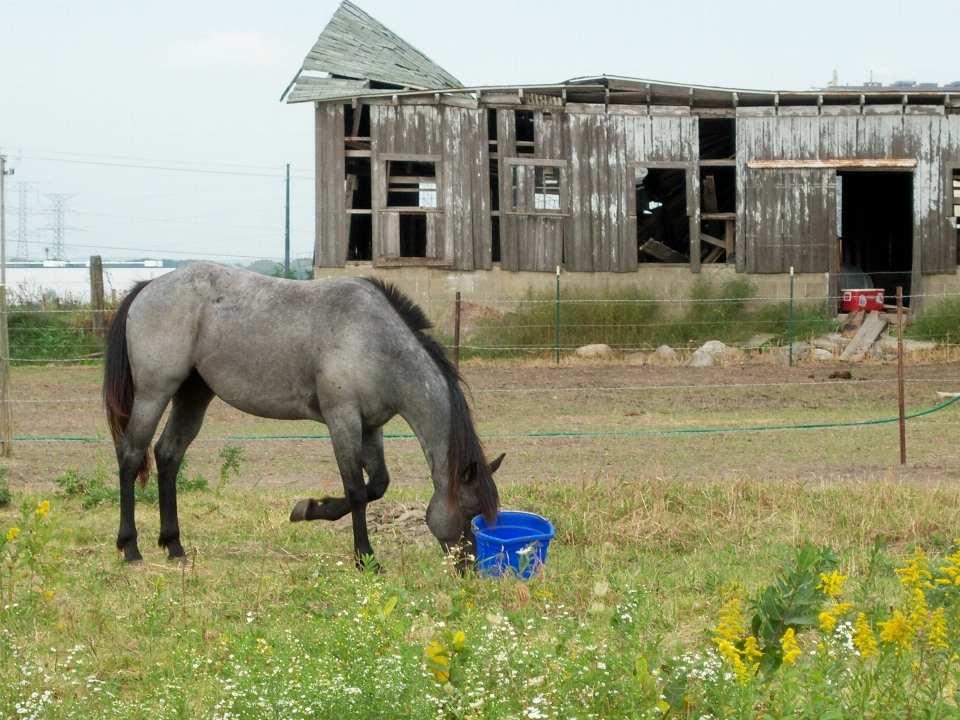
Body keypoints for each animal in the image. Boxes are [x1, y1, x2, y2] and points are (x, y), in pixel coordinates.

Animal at [102, 262, 502, 564]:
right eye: (470, 514)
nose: (468, 568)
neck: (375, 341)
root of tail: (148, 286)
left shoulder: (370, 427)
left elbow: (377, 485)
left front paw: (310, 509)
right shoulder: (342, 420)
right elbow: (357, 490)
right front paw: (365, 557)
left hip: (193, 396)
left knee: (168, 455)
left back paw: (174, 546)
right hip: (154, 393)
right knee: (131, 455)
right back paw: (131, 549)